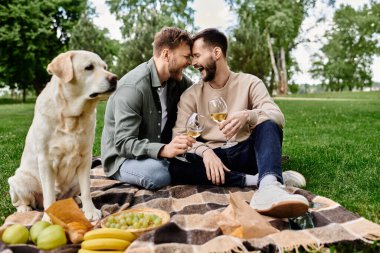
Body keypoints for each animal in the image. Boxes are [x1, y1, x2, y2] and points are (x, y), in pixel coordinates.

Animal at [7, 50, 117, 220]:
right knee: (24, 201)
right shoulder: (46, 161)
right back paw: (24, 209)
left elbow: (87, 191)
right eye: (89, 67)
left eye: (104, 67)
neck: (71, 117)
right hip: (18, 180)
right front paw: (48, 218)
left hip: (76, 180)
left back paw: (76, 200)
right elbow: (49, 195)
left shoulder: (86, 158)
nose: (114, 78)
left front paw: (90, 211)